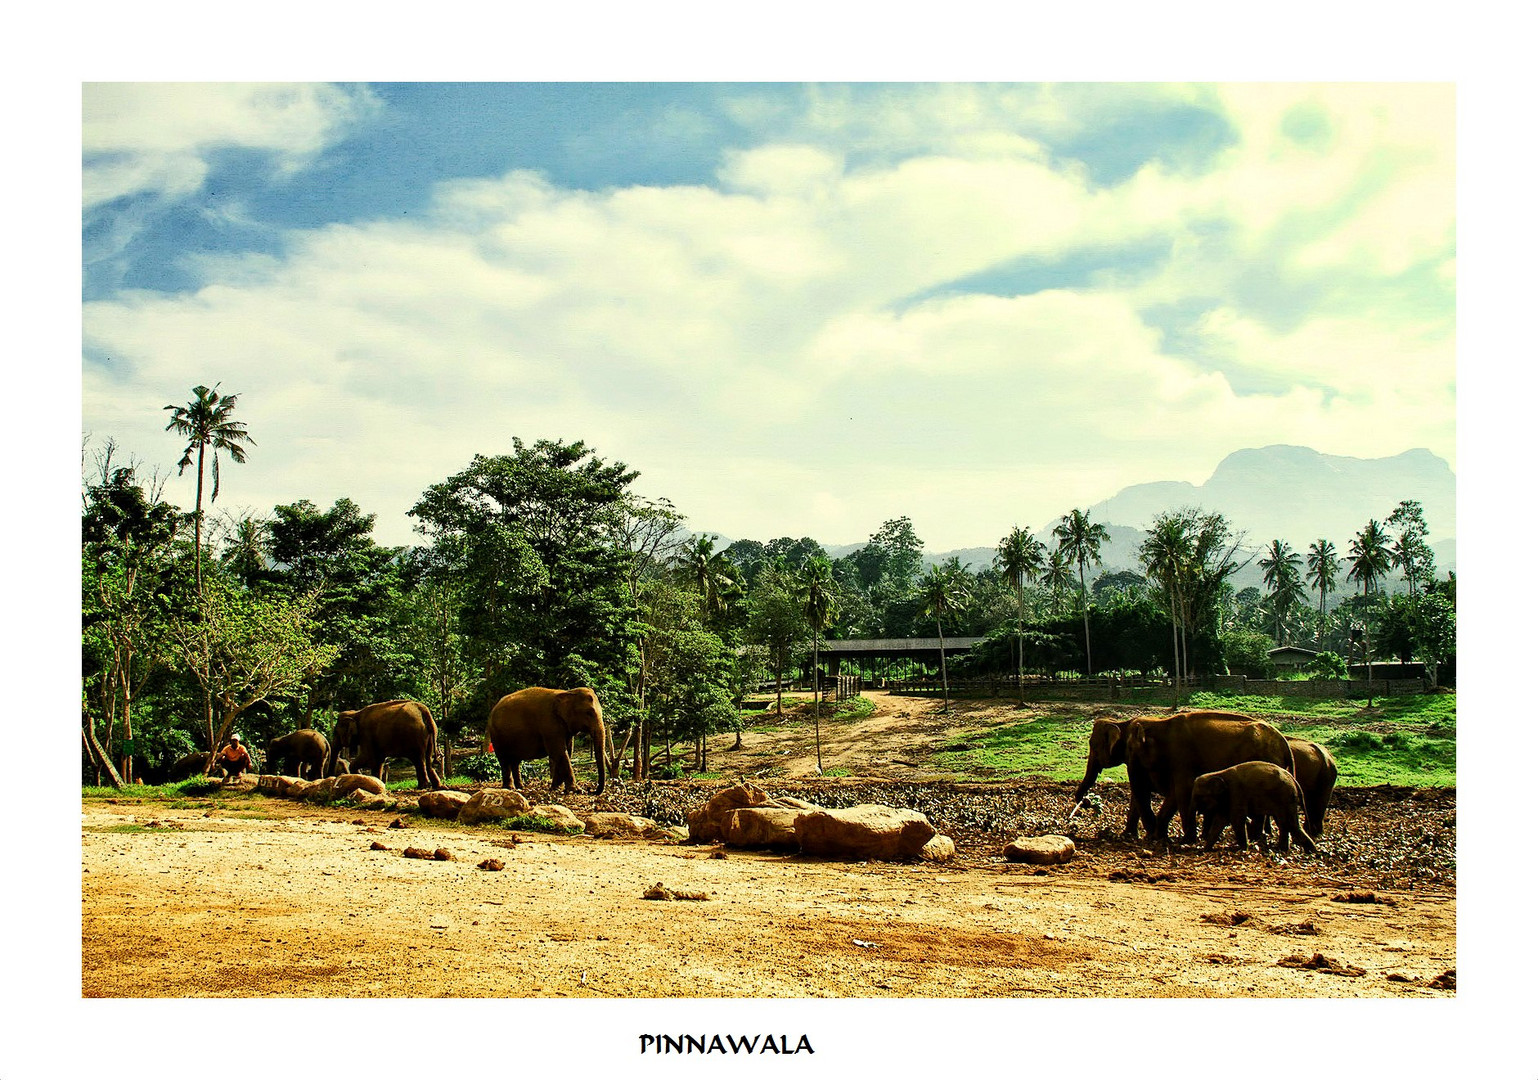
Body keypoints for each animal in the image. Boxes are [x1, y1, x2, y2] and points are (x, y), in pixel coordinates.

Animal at [1125, 713, 1291, 849]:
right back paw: (1256, 838)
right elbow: (1174, 795)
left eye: (1131, 750)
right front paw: (1162, 838)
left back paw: (1255, 838)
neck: (1160, 723)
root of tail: (1284, 743)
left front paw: (1186, 841)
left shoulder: (1182, 758)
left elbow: (1183, 791)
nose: (1150, 836)